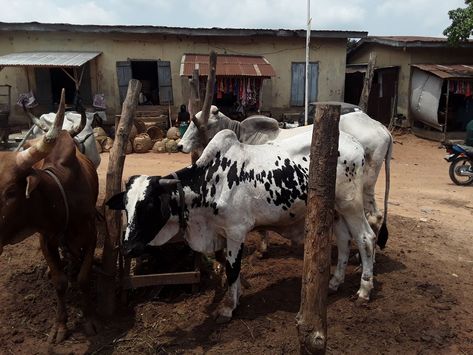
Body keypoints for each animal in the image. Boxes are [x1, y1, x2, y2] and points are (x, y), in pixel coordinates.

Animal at [0, 89, 98, 344]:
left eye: (11, 191)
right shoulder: (46, 239)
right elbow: (59, 281)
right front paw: (60, 325)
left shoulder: (91, 234)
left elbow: (83, 278)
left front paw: (90, 320)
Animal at [107, 129, 376, 322]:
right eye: (127, 207)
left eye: (149, 205)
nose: (128, 247)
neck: (211, 181)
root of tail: (356, 144)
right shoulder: (221, 234)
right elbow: (228, 268)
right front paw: (235, 297)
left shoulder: (236, 232)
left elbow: (232, 269)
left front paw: (228, 308)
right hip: (335, 211)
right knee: (344, 240)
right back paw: (334, 282)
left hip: (351, 205)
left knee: (366, 238)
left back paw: (364, 291)